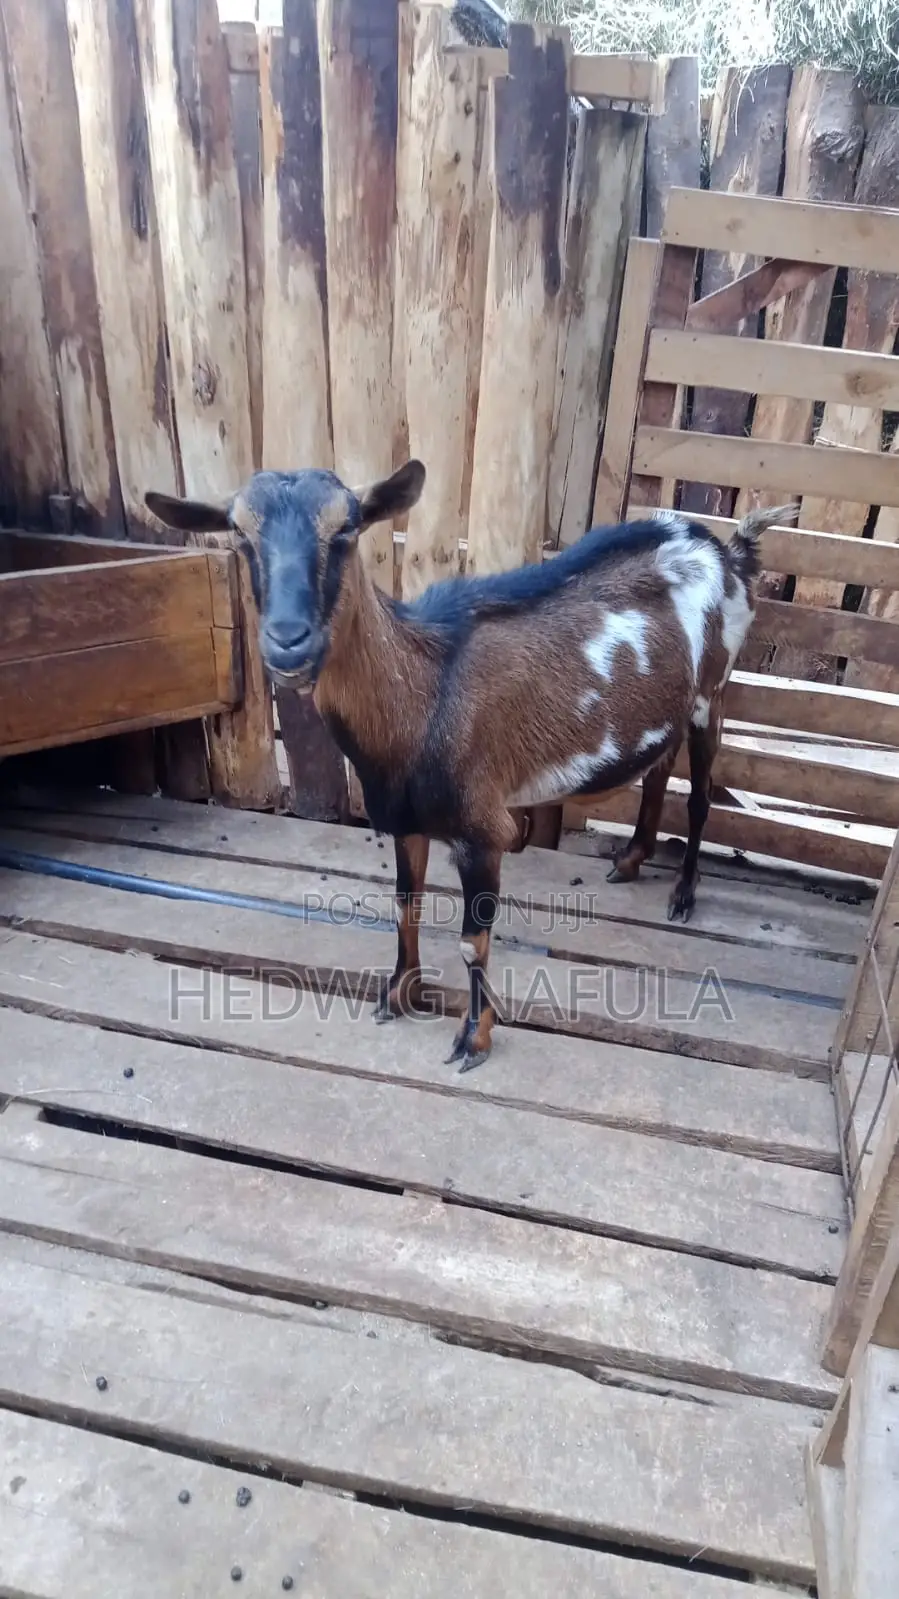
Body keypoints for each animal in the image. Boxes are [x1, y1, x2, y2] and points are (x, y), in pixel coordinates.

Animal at [146, 465, 796, 1072]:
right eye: (239, 533)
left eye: (347, 529)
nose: (288, 642)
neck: (423, 700)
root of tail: (725, 548)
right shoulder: (405, 820)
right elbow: (405, 907)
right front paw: (398, 994)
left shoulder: (484, 831)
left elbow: (470, 943)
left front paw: (473, 1040)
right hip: (668, 704)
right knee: (659, 767)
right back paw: (631, 859)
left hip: (715, 690)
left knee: (702, 792)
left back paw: (684, 894)